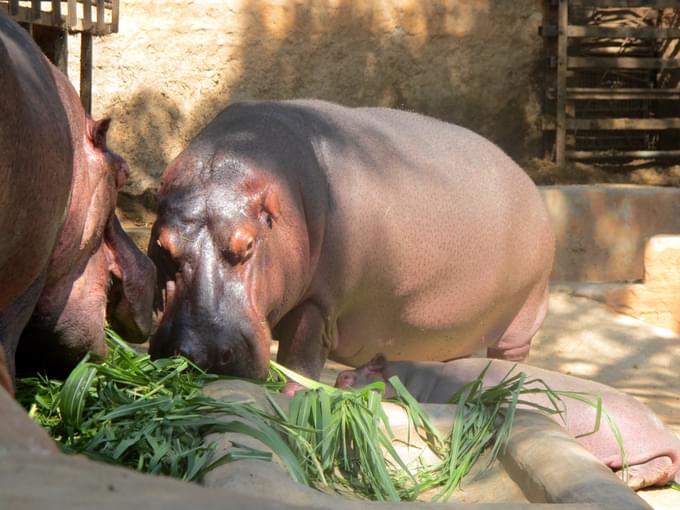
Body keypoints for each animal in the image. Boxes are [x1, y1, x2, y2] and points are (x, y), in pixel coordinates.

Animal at [147, 97, 552, 388]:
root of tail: (527, 181)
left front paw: (295, 393)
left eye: (247, 245)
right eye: (163, 247)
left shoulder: (319, 303)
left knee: (509, 356)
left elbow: (300, 358)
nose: (200, 353)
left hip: (522, 320)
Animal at [334, 354, 680, 490]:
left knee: (660, 465)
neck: (409, 377)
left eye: (351, 376)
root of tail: (667, 432)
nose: (338, 375)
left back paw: (627, 479)